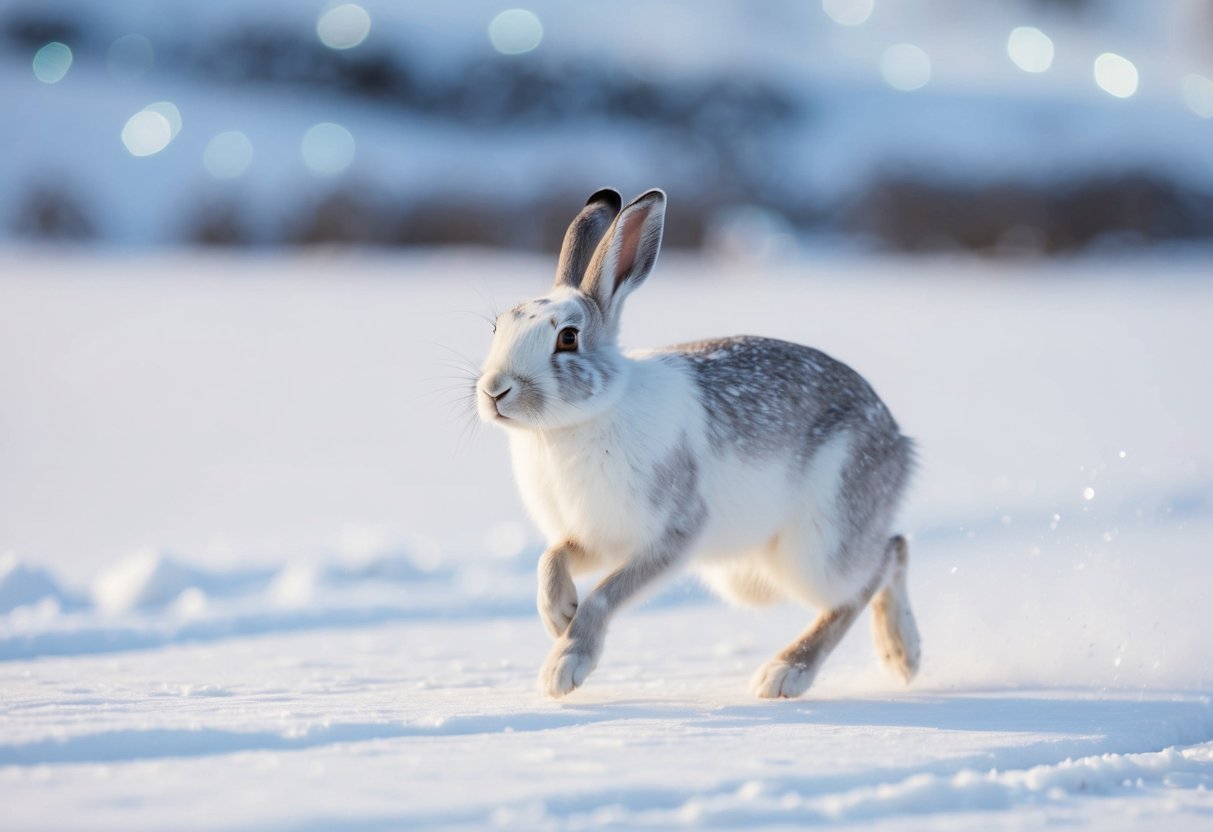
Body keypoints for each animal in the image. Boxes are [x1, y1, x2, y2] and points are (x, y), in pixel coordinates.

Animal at [475, 187, 920, 699]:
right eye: (497, 328)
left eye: (568, 338)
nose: (494, 391)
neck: (574, 423)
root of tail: (898, 442)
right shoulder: (597, 537)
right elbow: (551, 558)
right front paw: (558, 615)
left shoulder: (674, 532)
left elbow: (605, 596)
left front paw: (564, 669)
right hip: (754, 577)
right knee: (891, 552)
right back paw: (898, 658)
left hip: (818, 547)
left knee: (871, 572)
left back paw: (812, 669)